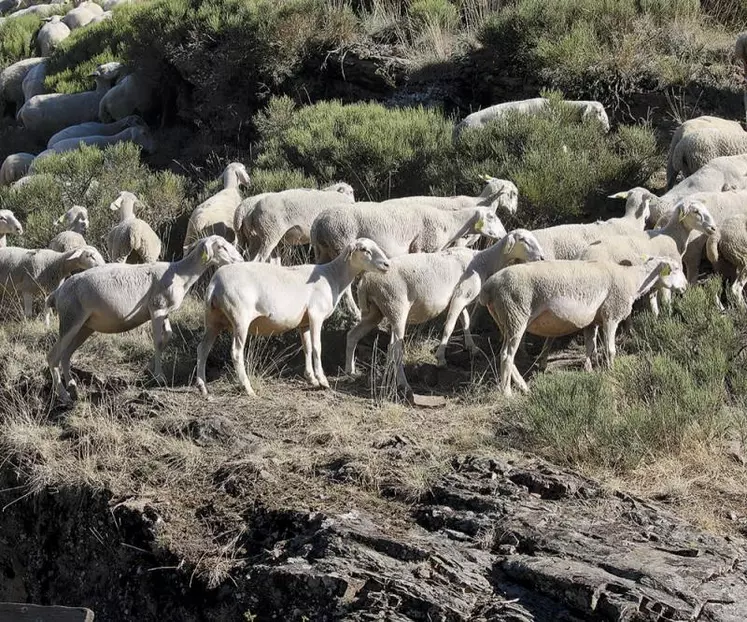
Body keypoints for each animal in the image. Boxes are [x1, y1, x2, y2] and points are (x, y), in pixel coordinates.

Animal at [46, 235, 245, 404]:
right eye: (221, 246)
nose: (240, 261)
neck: (180, 274)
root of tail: (57, 293)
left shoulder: (164, 312)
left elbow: (168, 337)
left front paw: (150, 369)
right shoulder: (157, 308)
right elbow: (158, 341)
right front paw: (159, 376)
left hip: (85, 326)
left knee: (66, 354)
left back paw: (73, 388)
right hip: (71, 319)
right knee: (53, 356)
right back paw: (64, 395)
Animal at [193, 236, 392, 398]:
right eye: (364, 249)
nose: (386, 265)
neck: (333, 277)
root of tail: (215, 283)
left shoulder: (304, 322)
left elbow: (307, 348)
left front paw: (311, 378)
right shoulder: (316, 315)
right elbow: (317, 347)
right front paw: (323, 380)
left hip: (213, 319)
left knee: (202, 349)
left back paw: (203, 387)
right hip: (239, 317)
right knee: (235, 352)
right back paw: (248, 388)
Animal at [430, 229, 548, 368]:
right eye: (523, 239)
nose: (542, 257)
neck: (485, 260)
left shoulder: (463, 297)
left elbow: (466, 322)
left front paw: (472, 347)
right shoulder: (460, 297)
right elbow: (449, 326)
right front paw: (440, 357)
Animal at [482, 260, 688, 398]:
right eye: (676, 269)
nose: (685, 287)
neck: (632, 279)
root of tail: (488, 288)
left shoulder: (593, 321)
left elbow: (590, 347)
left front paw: (589, 370)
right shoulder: (611, 314)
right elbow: (610, 350)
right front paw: (611, 371)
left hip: (506, 320)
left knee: (506, 355)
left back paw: (524, 388)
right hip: (516, 314)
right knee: (507, 355)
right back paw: (507, 393)